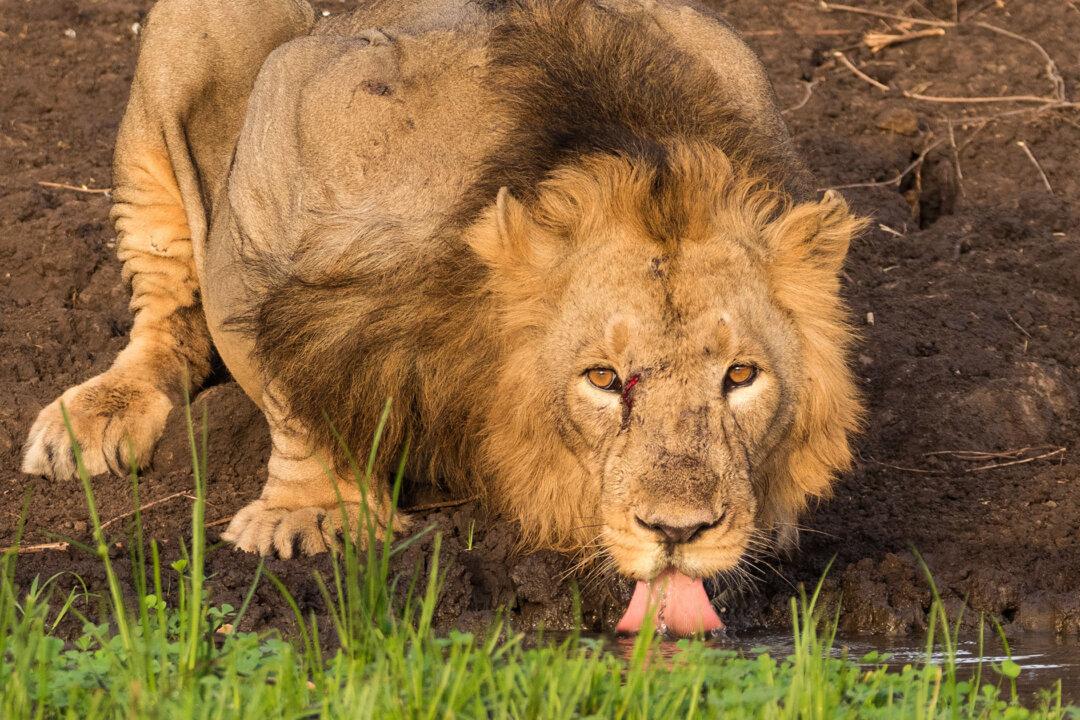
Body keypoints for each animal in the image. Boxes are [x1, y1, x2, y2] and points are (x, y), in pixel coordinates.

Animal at [22, 0, 864, 633]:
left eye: (742, 376)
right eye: (602, 378)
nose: (679, 533)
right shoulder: (278, 179)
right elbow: (292, 385)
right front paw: (316, 517)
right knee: (167, 303)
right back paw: (92, 419)